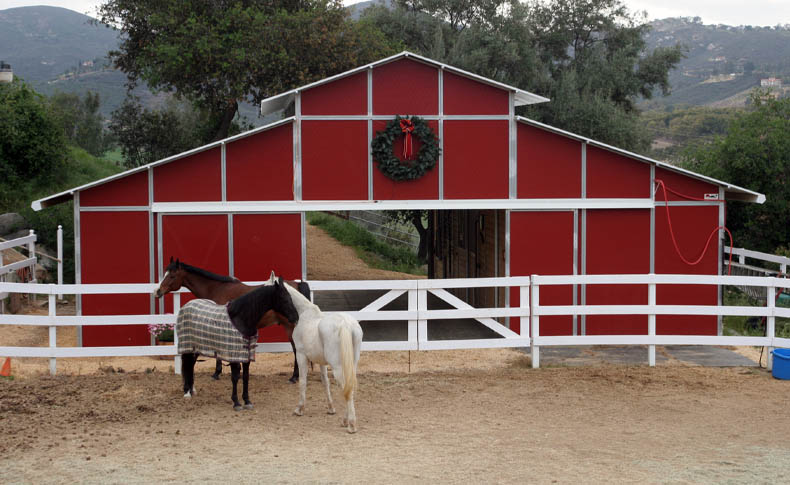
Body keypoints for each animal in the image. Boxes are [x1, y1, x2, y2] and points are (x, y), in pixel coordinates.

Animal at [155, 258, 306, 382]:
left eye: (172, 275)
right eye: (164, 273)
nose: (157, 291)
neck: (216, 289)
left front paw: (217, 373)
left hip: (290, 326)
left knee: (295, 348)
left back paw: (294, 377)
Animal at [268, 270, 364, 432]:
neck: (304, 314)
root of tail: (345, 324)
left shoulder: (301, 355)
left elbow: (302, 381)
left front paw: (299, 409)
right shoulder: (321, 362)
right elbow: (325, 382)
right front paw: (331, 408)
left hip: (338, 367)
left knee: (346, 388)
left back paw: (351, 424)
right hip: (352, 364)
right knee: (349, 387)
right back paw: (346, 420)